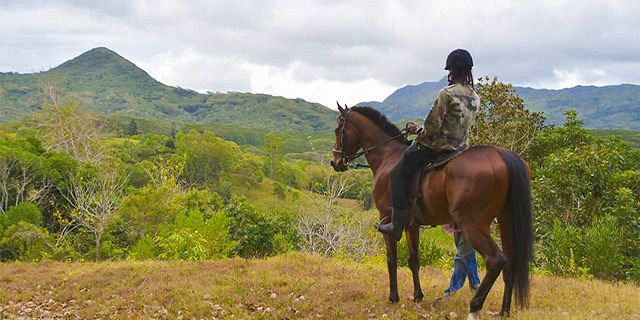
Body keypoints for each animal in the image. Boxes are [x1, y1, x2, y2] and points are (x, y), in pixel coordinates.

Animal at [330, 104, 536, 318]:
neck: (388, 157)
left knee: (495, 260)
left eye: (338, 130)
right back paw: (504, 311)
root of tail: (501, 155)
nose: (335, 161)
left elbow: (391, 259)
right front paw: (418, 295)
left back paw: (475, 306)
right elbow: (413, 260)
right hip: (506, 222)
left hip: (473, 225)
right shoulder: (412, 225)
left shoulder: (386, 217)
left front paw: (394, 297)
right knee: (510, 264)